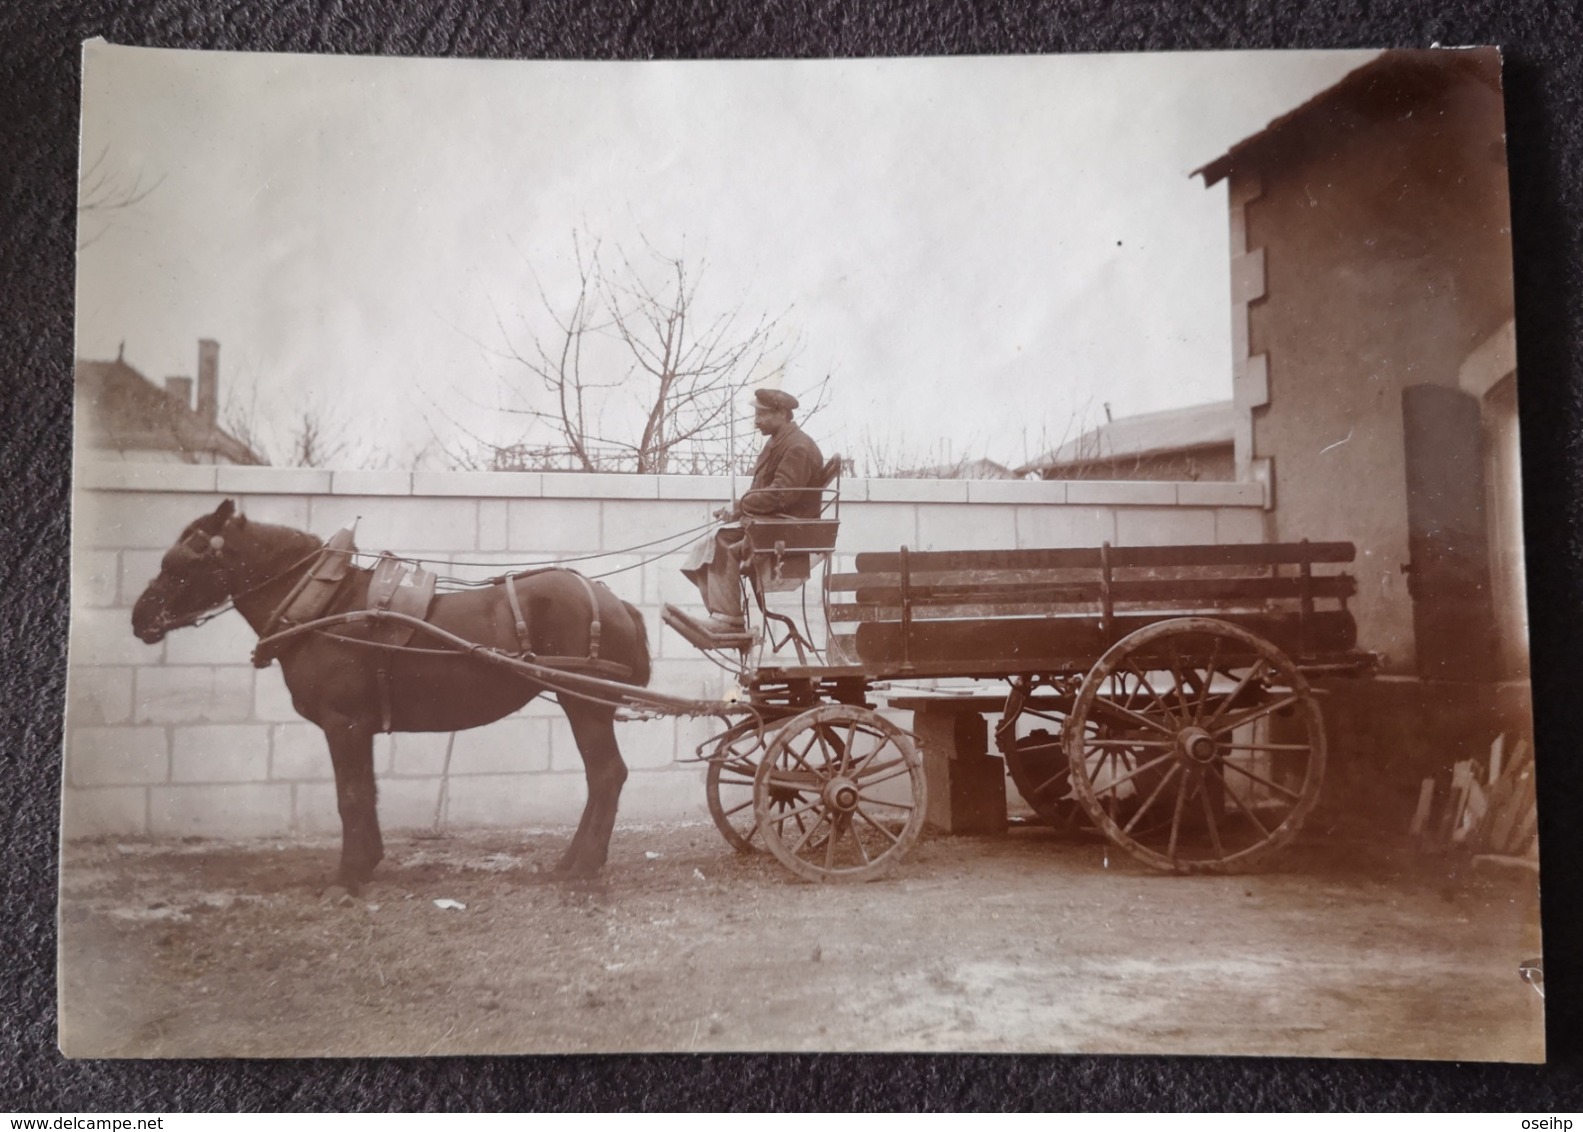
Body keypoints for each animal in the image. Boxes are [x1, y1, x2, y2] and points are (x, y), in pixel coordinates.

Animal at [126, 500, 652, 892]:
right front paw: (367, 862)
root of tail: (615, 602)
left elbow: (351, 795)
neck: (327, 607)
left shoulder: (342, 723)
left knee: (606, 775)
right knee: (602, 778)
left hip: (585, 702)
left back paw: (583, 865)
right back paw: (574, 860)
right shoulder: (357, 726)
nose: (140, 617)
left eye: (179, 562)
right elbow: (366, 790)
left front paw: (347, 875)